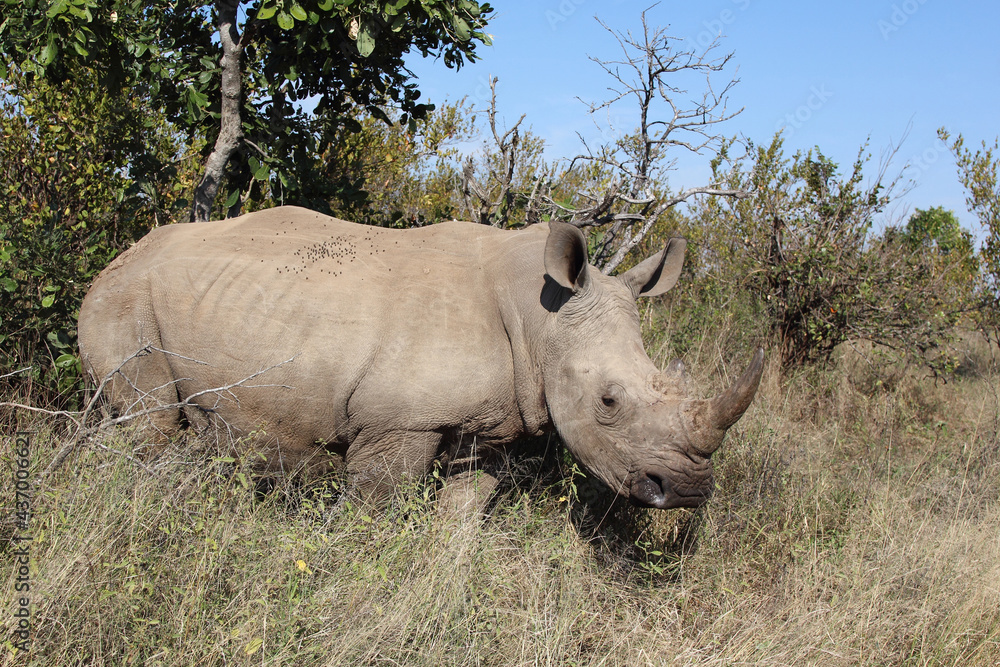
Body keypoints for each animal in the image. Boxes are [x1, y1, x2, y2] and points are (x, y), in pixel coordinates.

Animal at [78, 206, 763, 509]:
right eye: (609, 401)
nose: (689, 491)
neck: (540, 317)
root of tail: (115, 259)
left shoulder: (489, 428)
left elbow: (465, 512)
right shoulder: (398, 422)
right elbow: (378, 512)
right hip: (123, 301)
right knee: (149, 424)